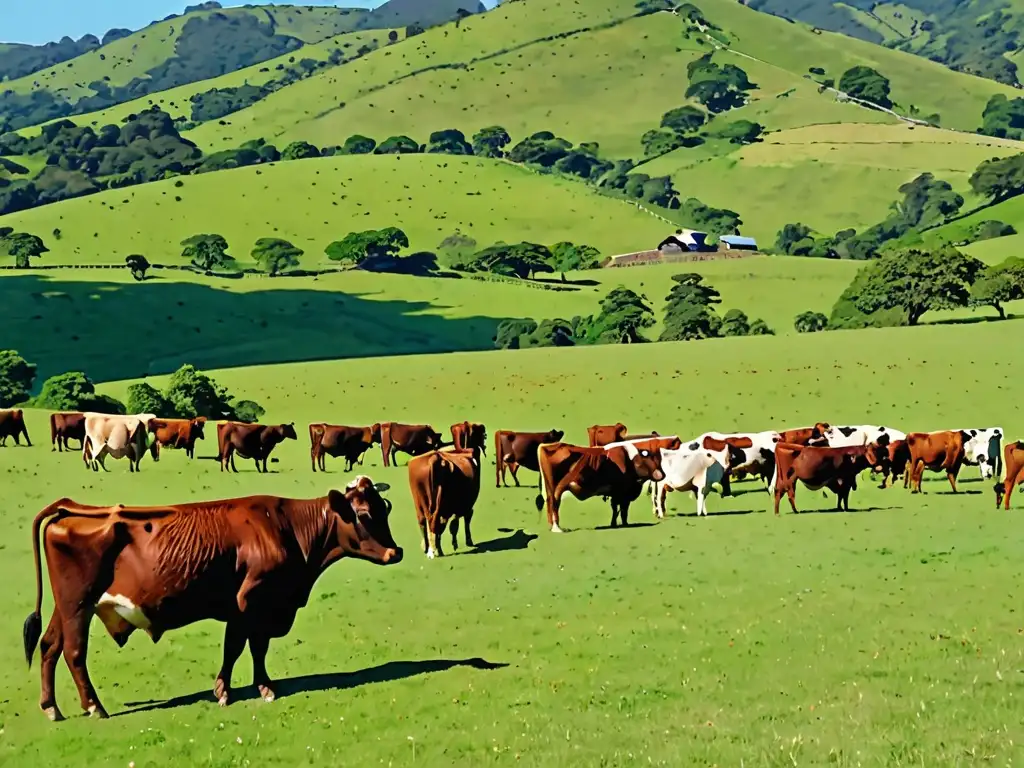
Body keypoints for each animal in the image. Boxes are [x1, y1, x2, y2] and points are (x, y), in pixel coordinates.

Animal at [22, 479, 401, 724]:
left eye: (384, 509)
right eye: (364, 515)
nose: (395, 552)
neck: (287, 528)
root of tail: (70, 509)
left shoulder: (254, 608)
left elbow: (252, 648)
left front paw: (256, 686)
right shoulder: (251, 602)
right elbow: (240, 647)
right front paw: (233, 690)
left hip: (65, 606)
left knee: (50, 646)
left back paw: (51, 707)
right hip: (78, 605)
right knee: (74, 652)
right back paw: (94, 707)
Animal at [536, 438, 671, 536]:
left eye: (660, 458)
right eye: (652, 459)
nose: (663, 474)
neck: (629, 460)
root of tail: (547, 446)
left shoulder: (616, 494)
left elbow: (615, 509)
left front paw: (614, 524)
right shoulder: (623, 493)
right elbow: (623, 510)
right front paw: (624, 524)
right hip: (555, 489)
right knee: (554, 503)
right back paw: (557, 528)